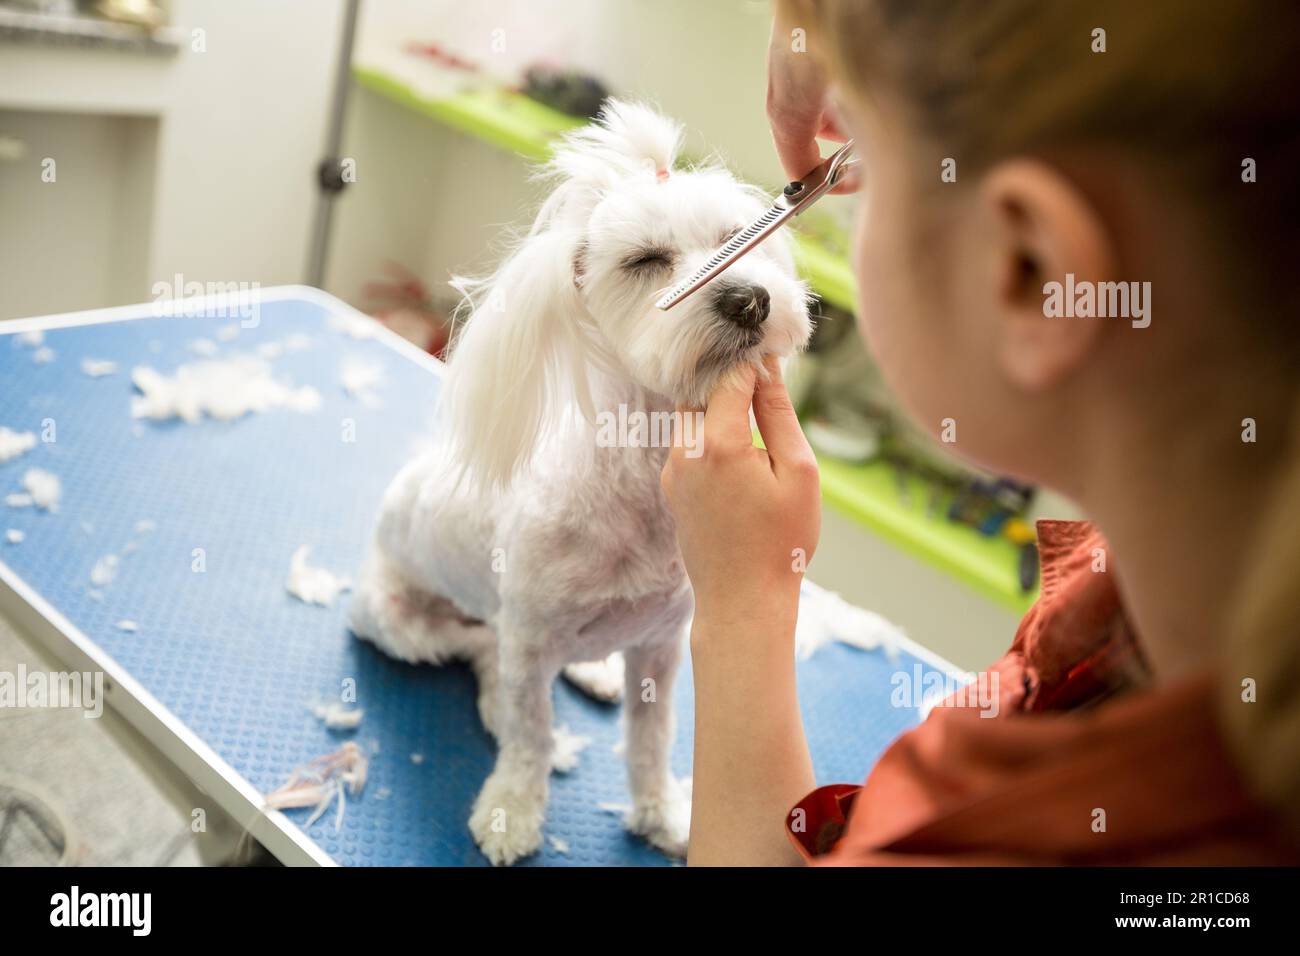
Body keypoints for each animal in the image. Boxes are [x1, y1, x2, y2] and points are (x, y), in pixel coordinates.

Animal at [345, 98, 811, 868]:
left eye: (736, 240)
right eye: (645, 261)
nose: (749, 300)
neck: (641, 491)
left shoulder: (661, 647)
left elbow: (651, 743)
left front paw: (663, 814)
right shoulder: (530, 641)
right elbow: (530, 735)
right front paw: (512, 810)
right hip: (396, 620)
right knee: (479, 652)